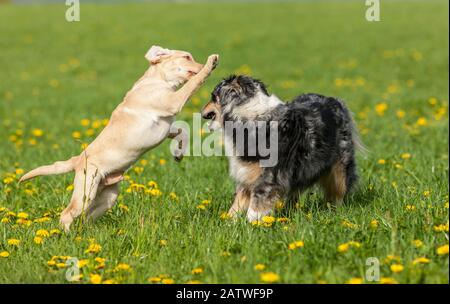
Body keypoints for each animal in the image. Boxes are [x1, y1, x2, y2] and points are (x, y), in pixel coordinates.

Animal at [19, 45, 220, 230]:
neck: (158, 79)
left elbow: (182, 131)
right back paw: (67, 236)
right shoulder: (173, 101)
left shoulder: (167, 125)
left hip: (107, 196)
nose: (202, 64)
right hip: (86, 191)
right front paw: (210, 63)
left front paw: (178, 153)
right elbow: (194, 82)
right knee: (67, 213)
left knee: (86, 217)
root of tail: (77, 160)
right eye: (187, 57)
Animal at [200, 75, 362, 222]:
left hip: (340, 169)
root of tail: (336, 101)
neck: (250, 116)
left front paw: (252, 226)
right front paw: (229, 223)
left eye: (213, 97)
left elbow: (255, 208)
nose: (201, 111)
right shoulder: (247, 174)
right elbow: (236, 205)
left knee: (338, 192)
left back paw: (335, 212)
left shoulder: (268, 178)